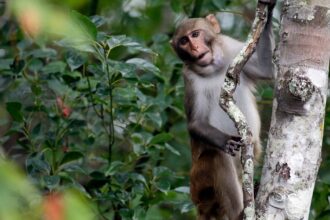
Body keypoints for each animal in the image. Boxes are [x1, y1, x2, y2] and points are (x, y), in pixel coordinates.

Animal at [171, 2, 274, 219]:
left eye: (195, 34)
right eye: (184, 41)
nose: (194, 48)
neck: (213, 68)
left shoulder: (232, 48)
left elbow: (265, 69)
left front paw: (269, 8)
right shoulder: (189, 79)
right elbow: (196, 123)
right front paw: (225, 141)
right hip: (199, 184)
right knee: (216, 157)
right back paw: (239, 213)